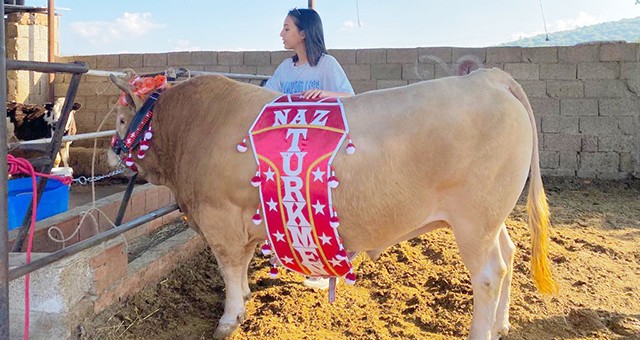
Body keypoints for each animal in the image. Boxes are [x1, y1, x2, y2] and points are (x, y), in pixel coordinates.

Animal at [109, 67, 556, 338]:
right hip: (492, 217)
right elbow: (241, 266)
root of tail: (488, 77)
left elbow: (229, 268)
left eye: (120, 119)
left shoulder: (219, 217)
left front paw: (229, 317)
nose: (111, 154)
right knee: (509, 254)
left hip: (474, 220)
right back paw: (502, 324)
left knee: (489, 275)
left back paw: (482, 331)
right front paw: (248, 298)